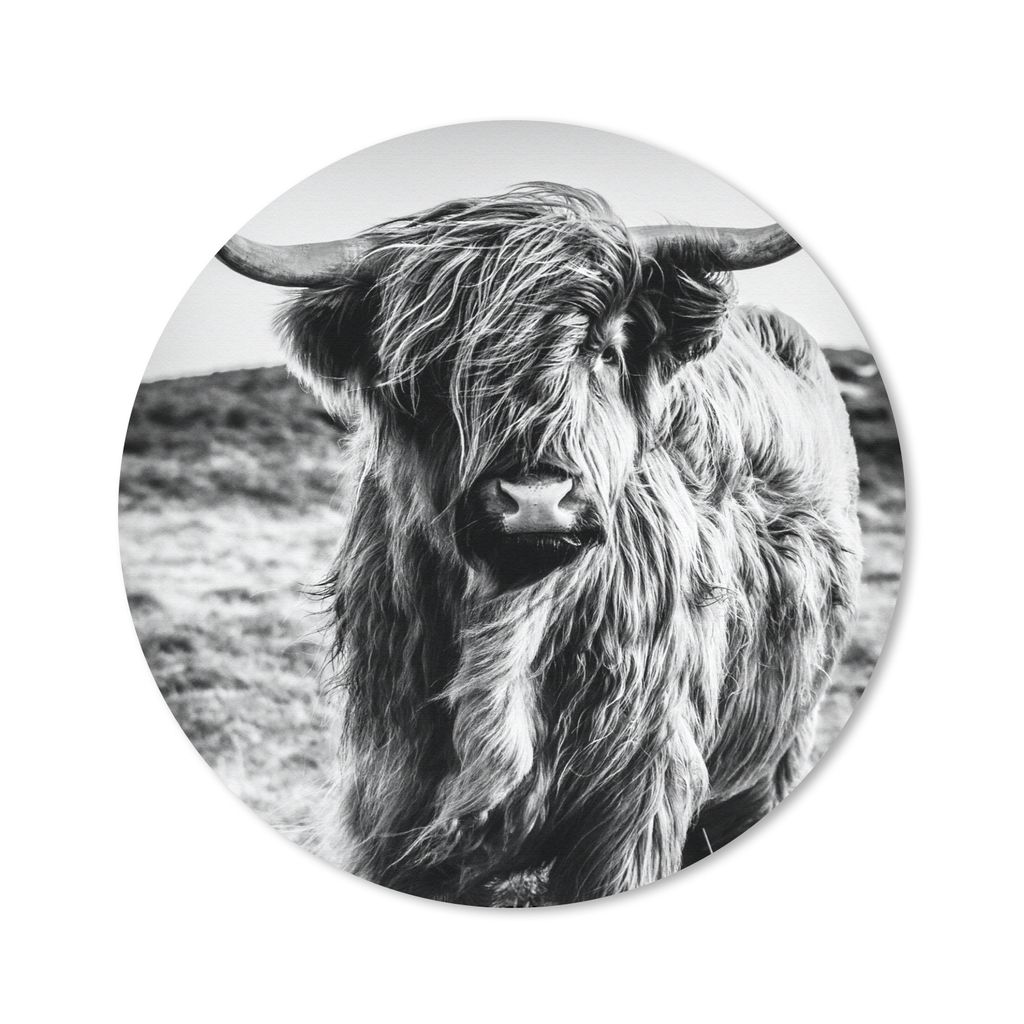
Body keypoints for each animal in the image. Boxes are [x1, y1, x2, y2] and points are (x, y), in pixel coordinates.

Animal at [217, 183, 862, 905]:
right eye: (435, 368)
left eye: (605, 350)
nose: (535, 497)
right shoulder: (391, 796)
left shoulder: (639, 793)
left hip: (781, 746)